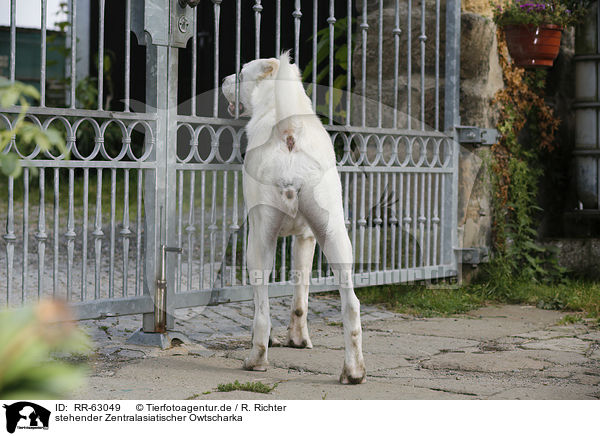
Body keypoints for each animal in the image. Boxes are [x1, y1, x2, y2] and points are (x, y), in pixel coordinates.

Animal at [221, 52, 366, 384]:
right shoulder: (306, 238)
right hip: (335, 235)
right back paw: (353, 372)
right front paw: (299, 340)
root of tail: (289, 134)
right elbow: (300, 296)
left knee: (261, 312)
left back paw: (256, 360)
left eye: (240, 74)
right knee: (351, 304)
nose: (223, 79)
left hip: (258, 243)